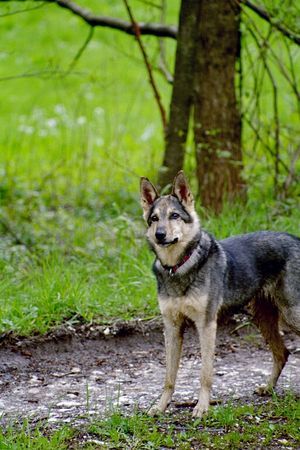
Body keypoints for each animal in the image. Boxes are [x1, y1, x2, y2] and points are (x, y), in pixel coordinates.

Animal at [140, 171, 300, 418]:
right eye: (154, 218)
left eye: (174, 215)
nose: (160, 235)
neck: (178, 267)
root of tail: (296, 239)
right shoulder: (172, 327)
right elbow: (169, 377)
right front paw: (160, 406)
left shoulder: (206, 325)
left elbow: (205, 374)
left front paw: (201, 407)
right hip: (263, 320)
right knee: (282, 353)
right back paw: (268, 388)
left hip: (291, 316)